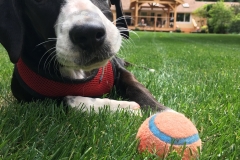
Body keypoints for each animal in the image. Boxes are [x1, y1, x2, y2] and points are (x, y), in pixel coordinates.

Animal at [0, 0, 170, 113]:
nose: (89, 34)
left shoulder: (120, 71)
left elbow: (137, 86)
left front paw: (163, 112)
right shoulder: (31, 99)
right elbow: (67, 99)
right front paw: (122, 107)